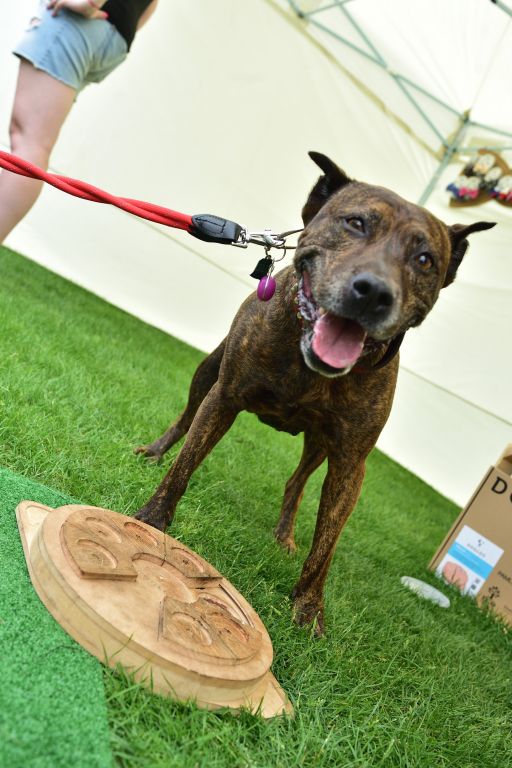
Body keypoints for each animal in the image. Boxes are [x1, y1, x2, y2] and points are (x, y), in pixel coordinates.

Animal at [134, 152, 494, 634]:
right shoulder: (223, 398)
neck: (309, 366)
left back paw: (285, 536)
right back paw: (156, 451)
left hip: (319, 443)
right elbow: (185, 464)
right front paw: (152, 519)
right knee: (185, 419)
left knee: (296, 482)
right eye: (355, 222)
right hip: (207, 372)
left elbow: (325, 546)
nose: (374, 292)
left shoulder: (349, 463)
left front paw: (307, 611)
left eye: (425, 259)